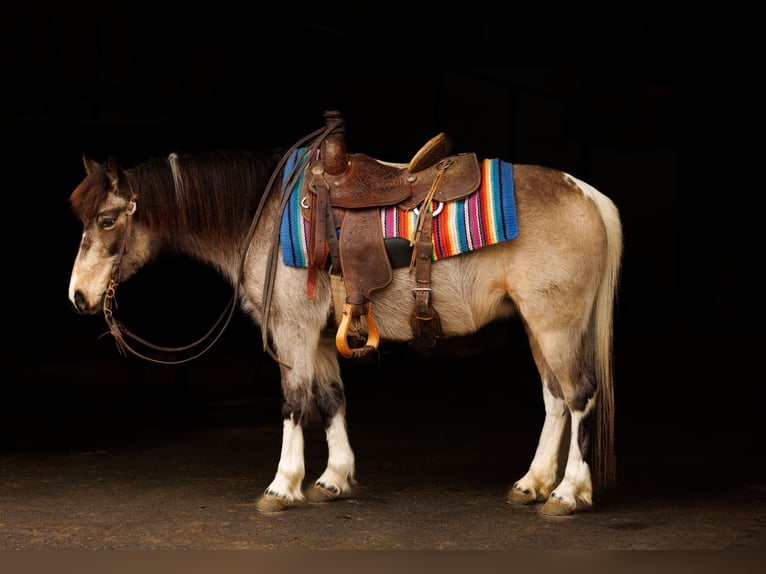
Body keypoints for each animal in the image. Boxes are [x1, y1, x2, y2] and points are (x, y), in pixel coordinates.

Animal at [67, 116, 624, 516]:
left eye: (108, 220)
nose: (78, 296)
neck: (264, 215)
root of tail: (588, 193)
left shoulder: (291, 331)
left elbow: (294, 402)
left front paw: (283, 484)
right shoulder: (317, 335)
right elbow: (331, 399)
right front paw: (333, 478)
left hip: (555, 324)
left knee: (579, 396)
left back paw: (569, 492)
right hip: (536, 325)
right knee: (555, 399)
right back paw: (532, 483)